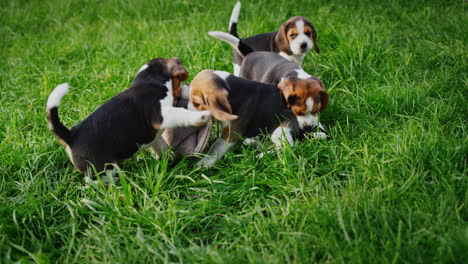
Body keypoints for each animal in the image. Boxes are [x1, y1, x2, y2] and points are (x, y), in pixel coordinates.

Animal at [46, 56, 211, 178]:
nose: (186, 89)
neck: (149, 81)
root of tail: (71, 135)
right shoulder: (162, 115)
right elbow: (182, 114)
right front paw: (203, 115)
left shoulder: (155, 137)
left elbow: (161, 147)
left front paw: (169, 161)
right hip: (102, 169)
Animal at [188, 69, 316, 166]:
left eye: (197, 104)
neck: (232, 90)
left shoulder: (231, 132)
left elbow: (216, 146)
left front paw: (205, 162)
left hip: (281, 130)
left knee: (286, 147)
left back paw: (262, 155)